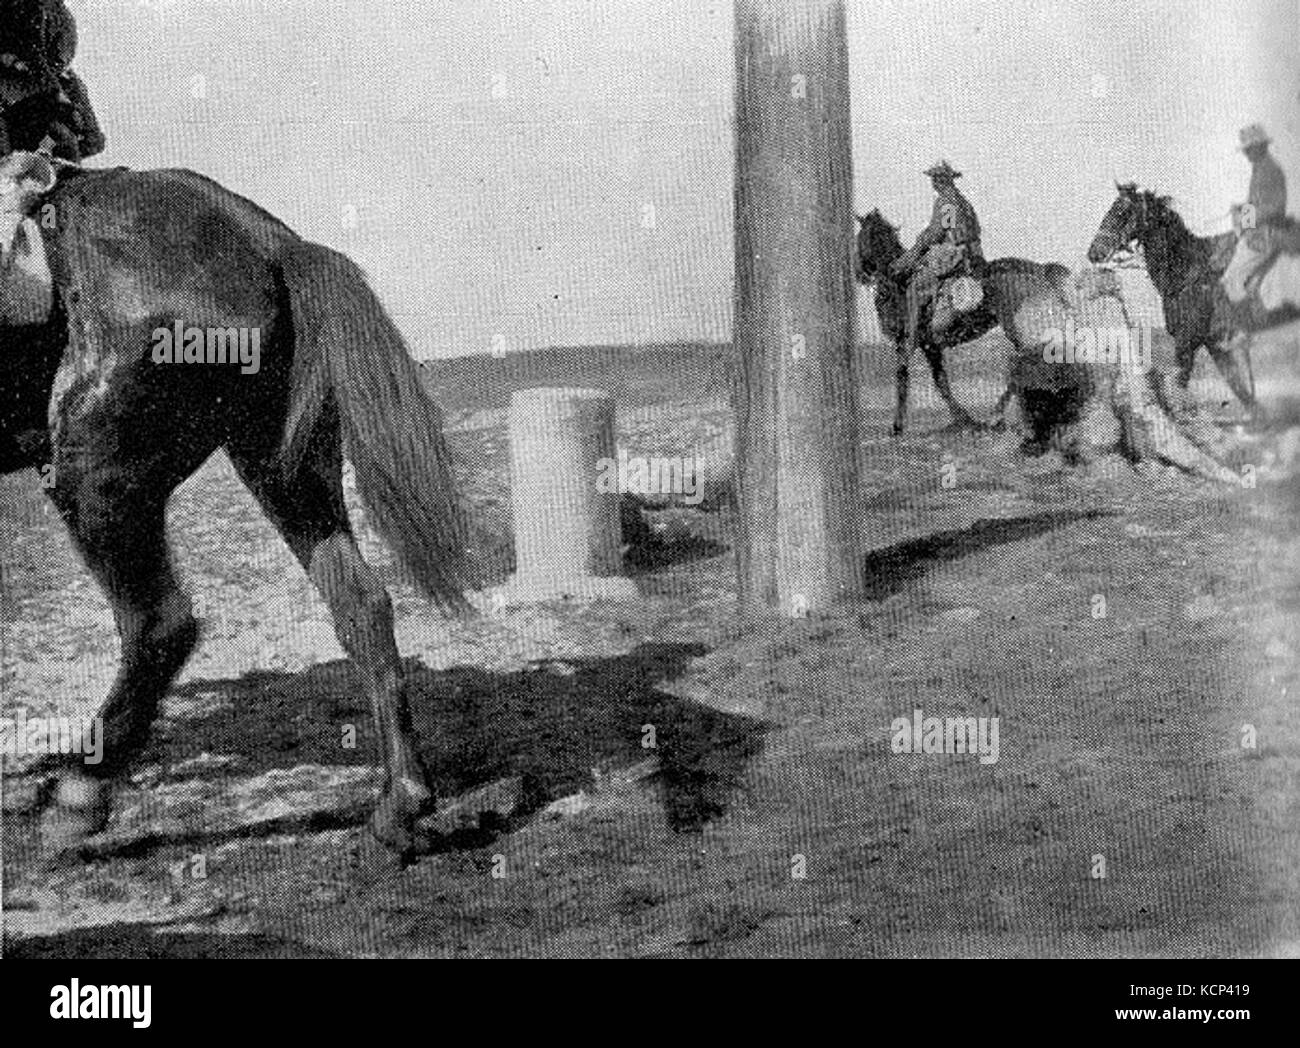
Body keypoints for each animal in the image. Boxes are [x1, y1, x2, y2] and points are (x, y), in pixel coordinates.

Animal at [0, 163, 478, 863]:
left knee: (160, 625)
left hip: (93, 477)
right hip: (282, 465)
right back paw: (400, 807)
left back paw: (77, 800)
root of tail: (271, 243)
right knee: (361, 602)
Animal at [852, 209, 1066, 434]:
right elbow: (941, 381)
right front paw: (962, 419)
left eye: (859, 238)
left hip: (1019, 330)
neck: (899, 284)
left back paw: (996, 416)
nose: (858, 274)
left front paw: (897, 426)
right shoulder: (930, 346)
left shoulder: (906, 342)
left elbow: (903, 374)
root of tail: (1041, 270)